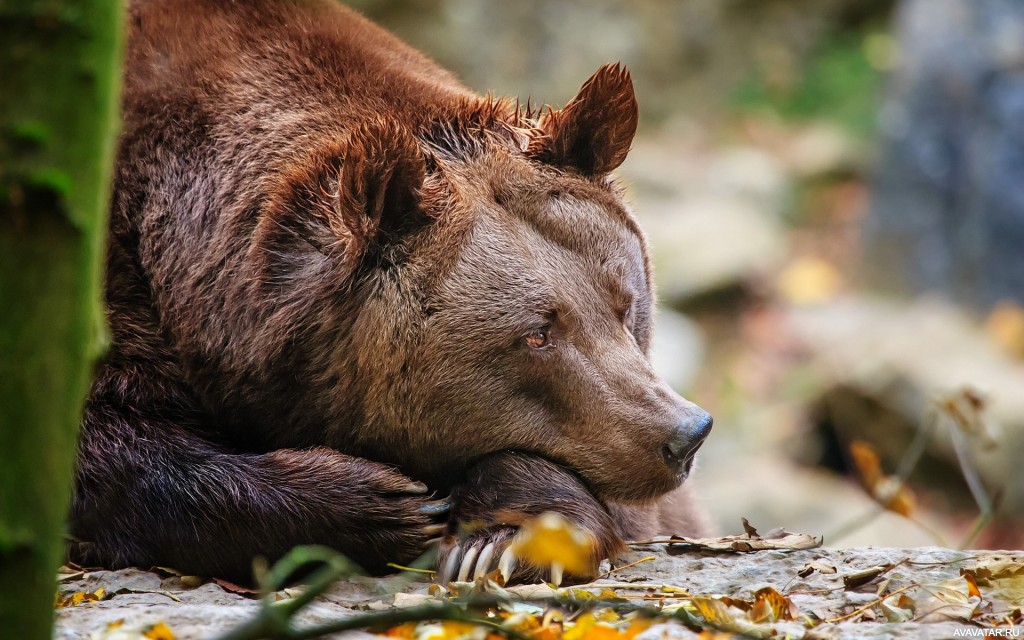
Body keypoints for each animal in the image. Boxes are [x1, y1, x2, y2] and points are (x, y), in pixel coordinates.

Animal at [70, 0, 712, 585]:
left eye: (625, 304)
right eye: (536, 334)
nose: (683, 435)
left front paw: (501, 538)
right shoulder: (111, 278)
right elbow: (109, 449)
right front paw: (382, 502)